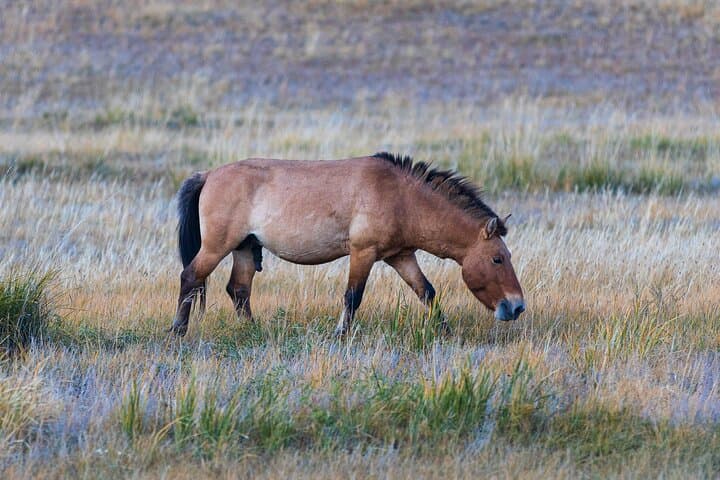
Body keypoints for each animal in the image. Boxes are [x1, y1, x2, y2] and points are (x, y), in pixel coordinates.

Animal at [169, 152, 525, 336]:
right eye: (497, 259)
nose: (517, 306)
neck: (401, 197)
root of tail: (209, 174)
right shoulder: (363, 253)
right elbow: (353, 297)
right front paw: (341, 333)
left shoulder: (401, 256)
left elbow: (426, 291)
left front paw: (445, 331)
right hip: (216, 247)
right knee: (190, 277)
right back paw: (178, 330)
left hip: (244, 248)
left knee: (239, 290)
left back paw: (252, 332)